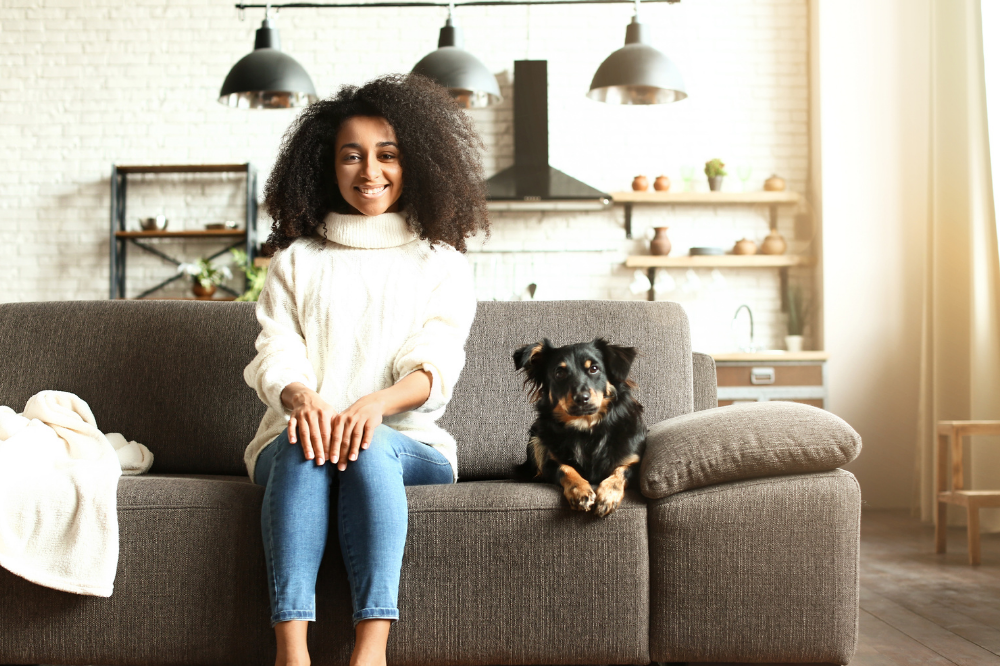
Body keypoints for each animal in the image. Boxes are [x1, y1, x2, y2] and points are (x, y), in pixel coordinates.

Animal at [512, 334, 644, 516]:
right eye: (559, 373)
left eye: (594, 368)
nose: (581, 398)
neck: (586, 428)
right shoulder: (550, 463)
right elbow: (566, 469)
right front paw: (580, 491)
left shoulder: (634, 462)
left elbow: (621, 470)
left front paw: (608, 495)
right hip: (536, 437)